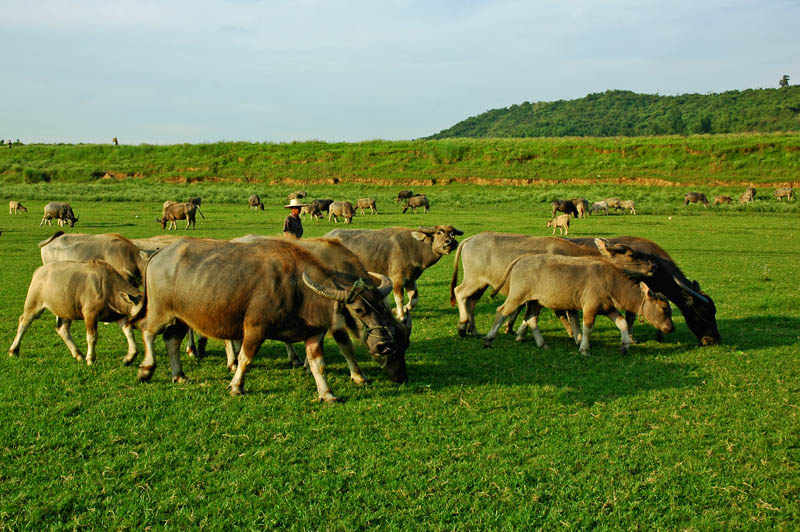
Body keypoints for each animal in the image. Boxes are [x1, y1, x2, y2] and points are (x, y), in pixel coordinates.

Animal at [8, 258, 144, 366]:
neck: (108, 288)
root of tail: (39, 270)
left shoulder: (119, 316)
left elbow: (129, 333)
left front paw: (129, 357)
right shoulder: (90, 315)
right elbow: (92, 337)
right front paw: (91, 359)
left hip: (65, 310)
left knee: (62, 330)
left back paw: (78, 354)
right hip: (33, 304)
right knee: (24, 322)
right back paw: (13, 350)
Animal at [135, 236, 410, 400]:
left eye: (382, 307)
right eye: (360, 310)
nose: (385, 344)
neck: (298, 288)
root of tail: (159, 254)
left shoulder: (314, 332)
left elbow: (318, 363)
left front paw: (327, 393)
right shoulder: (255, 327)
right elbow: (246, 358)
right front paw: (236, 386)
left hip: (182, 317)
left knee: (172, 340)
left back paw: (179, 374)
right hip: (161, 310)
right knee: (148, 331)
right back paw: (146, 369)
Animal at [324, 225, 462, 320]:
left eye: (452, 233)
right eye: (439, 232)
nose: (451, 242)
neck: (415, 249)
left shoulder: (411, 279)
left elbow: (414, 299)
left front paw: (398, 310)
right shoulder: (397, 279)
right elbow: (399, 298)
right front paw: (401, 315)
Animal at [482, 254, 676, 354]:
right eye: (664, 309)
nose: (671, 328)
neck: (610, 281)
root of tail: (521, 260)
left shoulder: (609, 308)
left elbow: (622, 323)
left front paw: (625, 345)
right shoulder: (590, 307)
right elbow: (587, 328)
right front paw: (584, 348)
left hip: (536, 301)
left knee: (531, 319)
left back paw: (542, 344)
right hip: (517, 295)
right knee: (501, 311)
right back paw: (489, 339)